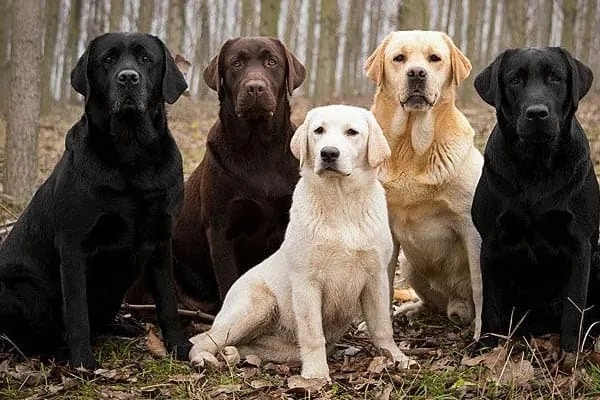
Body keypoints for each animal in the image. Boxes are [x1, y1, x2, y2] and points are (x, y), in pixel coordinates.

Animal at [0, 33, 190, 368]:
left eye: (146, 59)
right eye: (108, 59)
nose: (128, 78)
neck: (131, 155)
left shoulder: (161, 239)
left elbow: (168, 301)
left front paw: (178, 347)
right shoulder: (73, 244)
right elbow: (77, 311)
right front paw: (83, 363)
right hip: (20, 289)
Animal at [172, 36, 304, 310]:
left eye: (272, 61)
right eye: (236, 63)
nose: (255, 88)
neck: (259, 150)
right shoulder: (221, 231)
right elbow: (229, 282)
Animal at [190, 104, 414, 380]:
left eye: (352, 132)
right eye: (319, 130)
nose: (328, 153)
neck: (340, 204)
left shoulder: (376, 277)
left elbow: (382, 327)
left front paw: (397, 358)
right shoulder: (307, 282)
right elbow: (312, 334)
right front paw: (317, 375)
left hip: (279, 347)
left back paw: (231, 354)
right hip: (258, 303)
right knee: (202, 338)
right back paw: (204, 359)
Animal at [366, 31, 482, 338]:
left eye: (434, 58)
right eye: (399, 58)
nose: (417, 73)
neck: (410, 145)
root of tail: (457, 302)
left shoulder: (472, 227)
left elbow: (481, 287)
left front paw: (483, 334)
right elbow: (383, 285)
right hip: (409, 264)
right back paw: (412, 310)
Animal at [474, 47, 600, 356]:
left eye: (555, 78)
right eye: (515, 80)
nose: (537, 113)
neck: (536, 166)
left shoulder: (581, 243)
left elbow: (573, 307)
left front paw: (570, 354)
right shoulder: (491, 242)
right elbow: (490, 306)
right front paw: (486, 349)